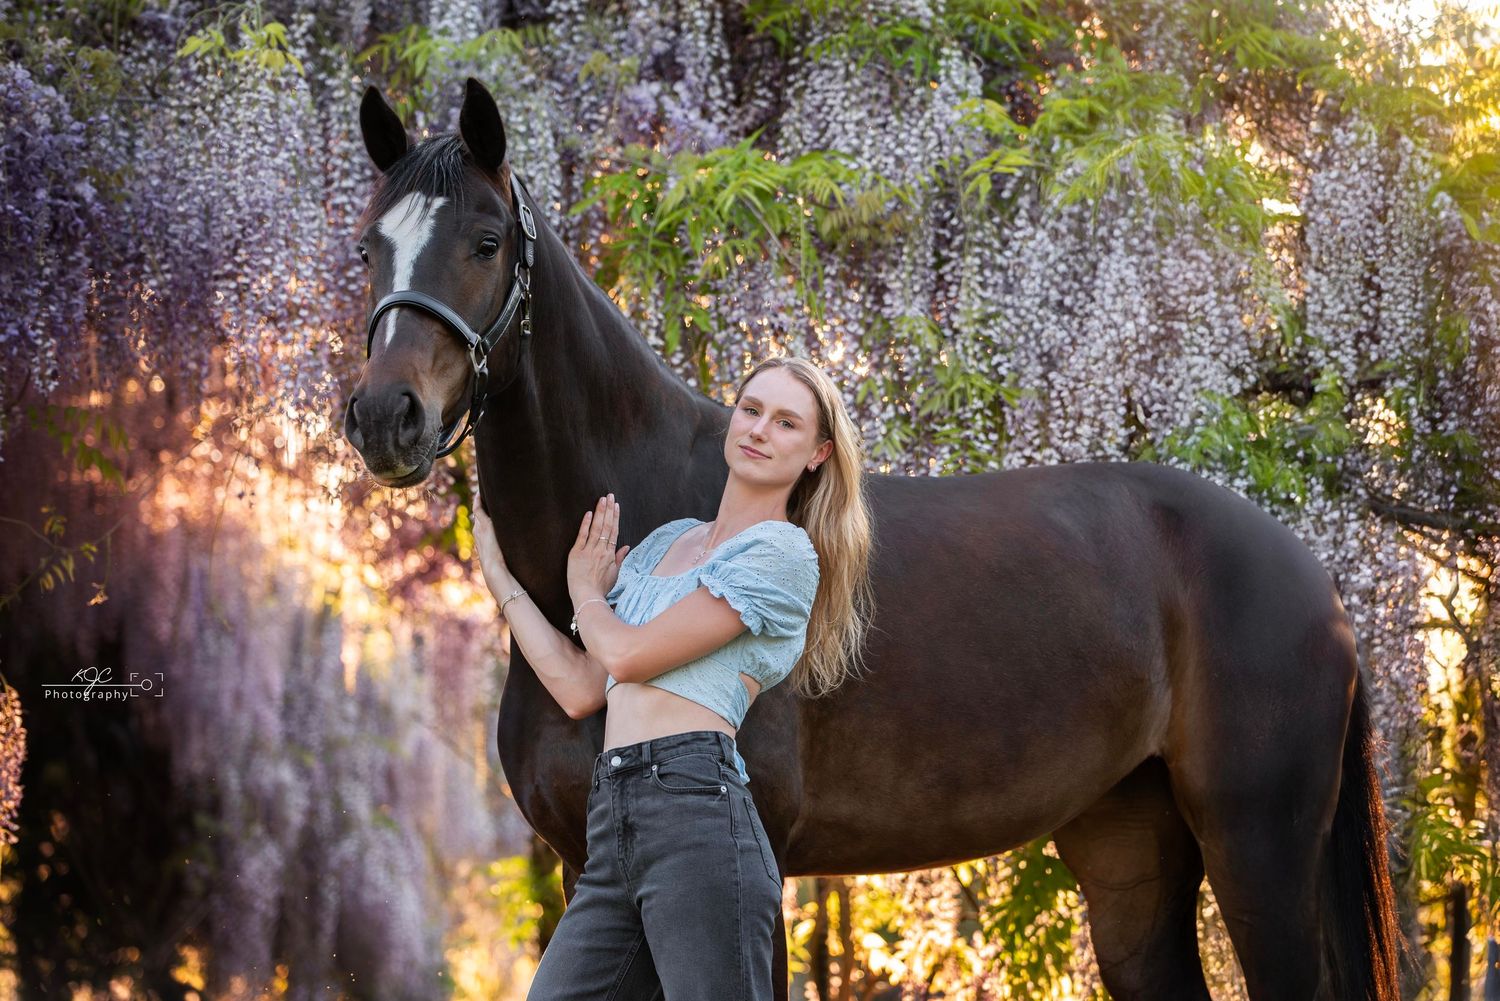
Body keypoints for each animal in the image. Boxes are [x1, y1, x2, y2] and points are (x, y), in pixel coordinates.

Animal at [342, 76, 1405, 1000]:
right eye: (365, 250)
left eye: (485, 241)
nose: (385, 417)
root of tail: (1311, 573)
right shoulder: (582, 869)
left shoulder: (757, 867)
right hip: (1131, 850)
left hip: (1258, 847)